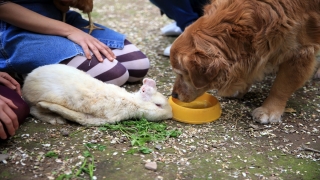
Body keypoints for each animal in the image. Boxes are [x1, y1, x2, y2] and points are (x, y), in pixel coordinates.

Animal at [21, 64, 172, 126]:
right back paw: (56, 119)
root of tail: (25, 85)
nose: (171, 115)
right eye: (158, 105)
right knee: (34, 111)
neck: (132, 102)